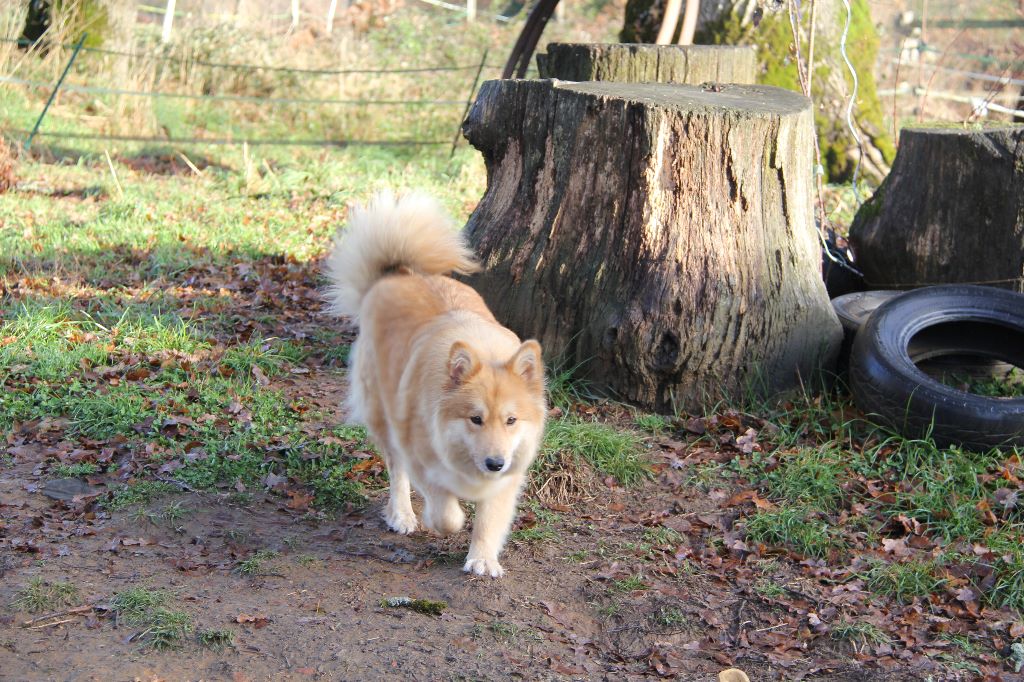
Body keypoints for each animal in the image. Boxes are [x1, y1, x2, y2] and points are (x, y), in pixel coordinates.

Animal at [325, 192, 548, 577]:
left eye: (511, 421)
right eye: (475, 419)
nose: (495, 463)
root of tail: (398, 273)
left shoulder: (508, 475)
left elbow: (489, 519)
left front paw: (483, 558)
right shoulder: (423, 457)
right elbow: (446, 512)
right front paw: (440, 518)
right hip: (384, 415)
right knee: (396, 469)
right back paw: (402, 514)